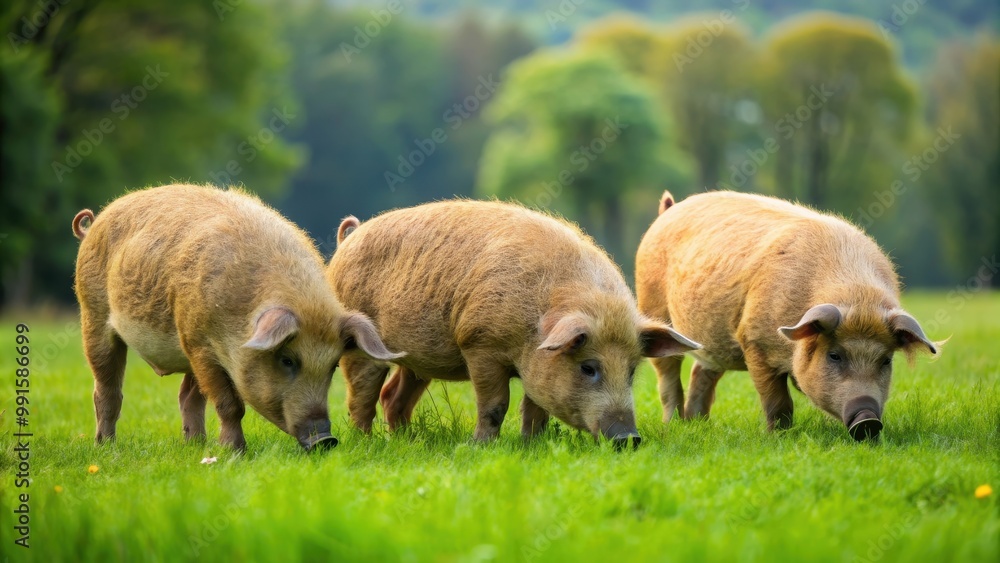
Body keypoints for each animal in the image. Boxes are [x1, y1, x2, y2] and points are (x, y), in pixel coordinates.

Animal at [72, 183, 402, 451]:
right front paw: (236, 452)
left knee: (186, 396)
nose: (325, 439)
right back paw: (106, 447)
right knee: (106, 389)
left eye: (333, 365)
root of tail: (95, 223)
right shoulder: (202, 346)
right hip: (94, 313)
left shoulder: (196, 344)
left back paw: (196, 446)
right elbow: (230, 404)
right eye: (287, 360)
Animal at [326, 200, 701, 447]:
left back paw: (407, 440)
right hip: (360, 344)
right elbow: (495, 404)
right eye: (588, 367)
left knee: (393, 398)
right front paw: (481, 446)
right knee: (361, 396)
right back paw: (367, 443)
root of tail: (350, 237)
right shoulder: (479, 343)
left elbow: (535, 408)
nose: (628, 437)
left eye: (632, 370)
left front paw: (532, 445)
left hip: (416, 361)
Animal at [636, 191, 938, 441]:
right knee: (668, 375)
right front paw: (777, 438)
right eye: (834, 355)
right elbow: (778, 401)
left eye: (886, 360)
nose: (868, 420)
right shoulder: (754, 340)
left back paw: (699, 425)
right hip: (653, 306)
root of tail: (668, 210)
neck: (857, 297)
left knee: (701, 372)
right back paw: (674, 425)